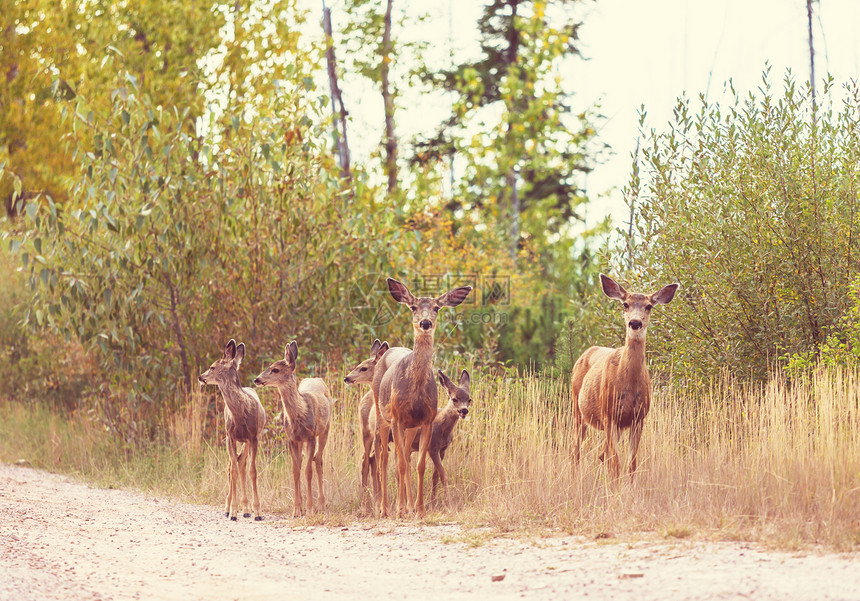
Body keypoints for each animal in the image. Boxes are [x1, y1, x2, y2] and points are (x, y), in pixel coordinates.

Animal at [198, 338, 266, 520]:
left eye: (212, 367)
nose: (201, 377)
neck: (241, 414)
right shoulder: (230, 436)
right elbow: (233, 470)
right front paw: (233, 511)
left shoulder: (253, 437)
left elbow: (252, 470)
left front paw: (257, 512)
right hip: (232, 439)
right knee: (232, 466)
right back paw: (229, 508)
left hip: (247, 441)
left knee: (242, 463)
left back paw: (247, 510)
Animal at [252, 342, 332, 516]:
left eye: (275, 369)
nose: (257, 379)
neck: (300, 414)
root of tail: (316, 378)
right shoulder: (292, 439)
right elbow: (296, 470)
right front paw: (297, 509)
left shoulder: (310, 437)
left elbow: (308, 471)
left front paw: (310, 509)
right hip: (302, 441)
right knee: (304, 461)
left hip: (325, 430)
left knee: (318, 459)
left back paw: (322, 505)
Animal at [374, 276, 470, 516]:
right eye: (413, 307)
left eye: (436, 307)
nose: (425, 323)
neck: (414, 390)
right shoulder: (397, 418)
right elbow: (399, 464)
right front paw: (400, 509)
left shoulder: (426, 420)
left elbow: (419, 466)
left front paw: (419, 509)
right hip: (382, 415)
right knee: (384, 459)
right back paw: (385, 509)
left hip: (410, 427)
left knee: (405, 459)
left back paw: (407, 506)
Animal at [572, 274, 680, 480]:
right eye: (625, 304)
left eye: (649, 306)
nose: (635, 323)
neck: (628, 386)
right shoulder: (609, 415)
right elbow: (616, 463)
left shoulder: (639, 417)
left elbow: (631, 464)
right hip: (577, 408)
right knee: (576, 450)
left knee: (601, 454)